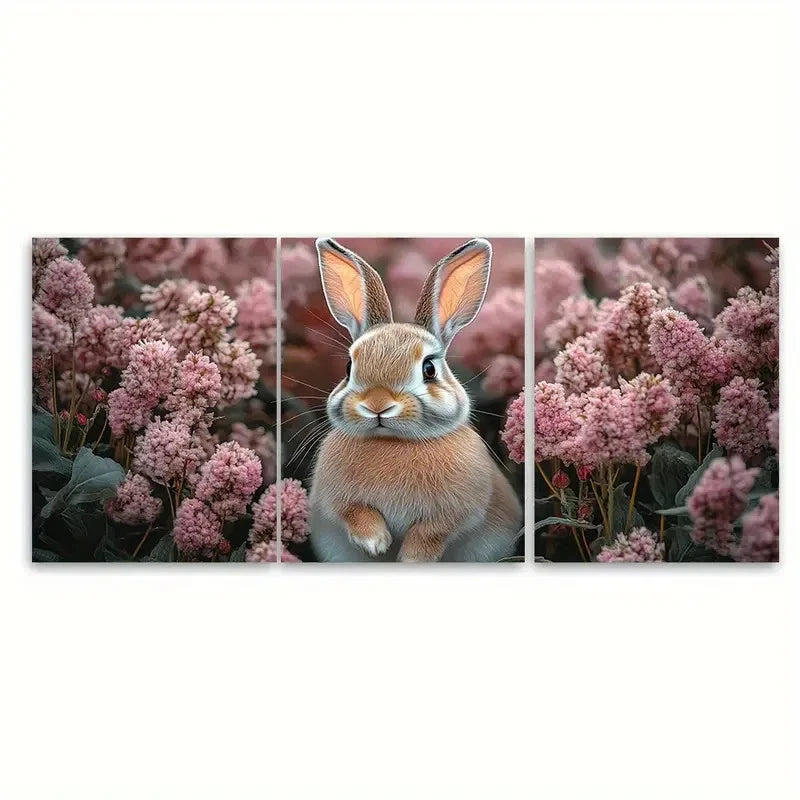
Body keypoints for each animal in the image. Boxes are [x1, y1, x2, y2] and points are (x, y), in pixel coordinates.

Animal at [308, 237, 523, 562]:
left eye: (429, 369)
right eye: (349, 367)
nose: (377, 404)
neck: (394, 443)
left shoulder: (452, 514)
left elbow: (429, 533)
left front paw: (410, 559)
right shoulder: (336, 500)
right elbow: (355, 513)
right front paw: (376, 542)